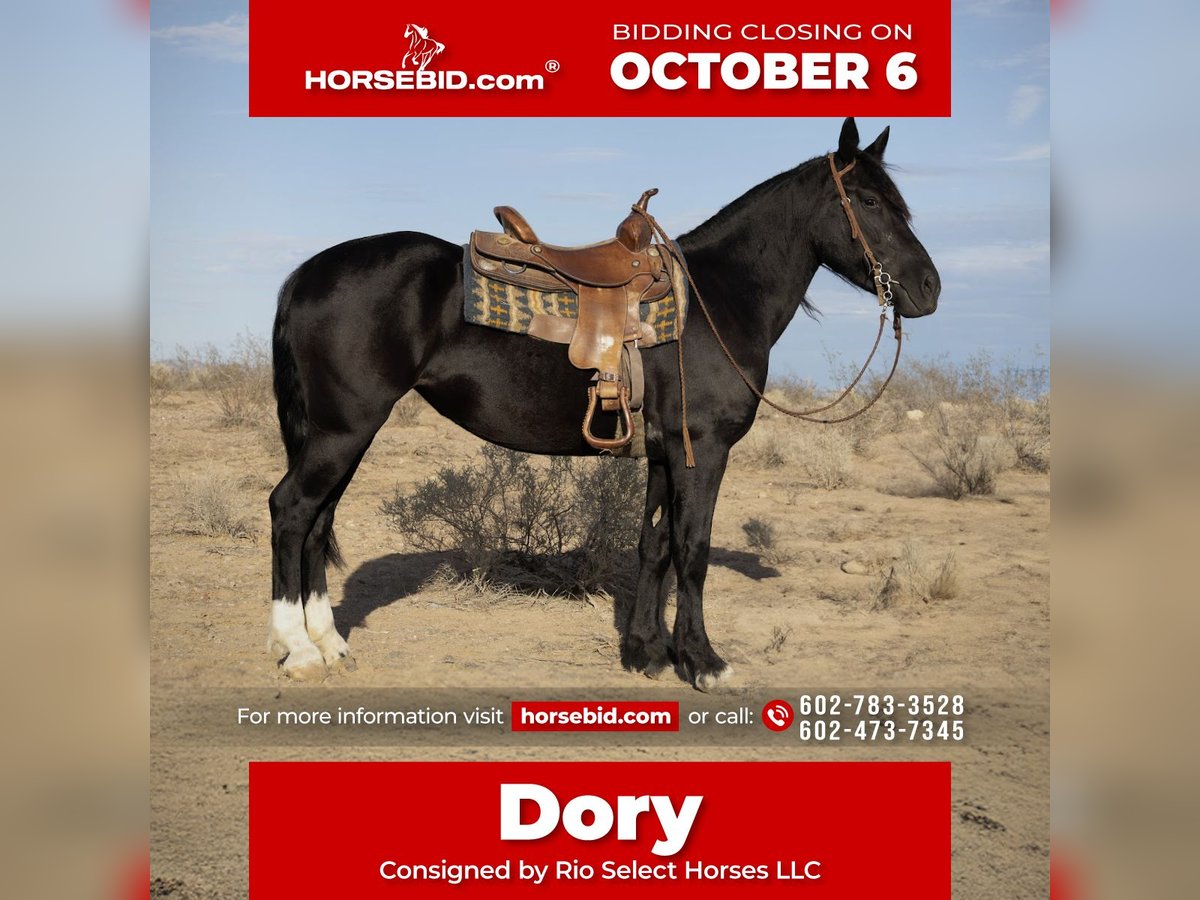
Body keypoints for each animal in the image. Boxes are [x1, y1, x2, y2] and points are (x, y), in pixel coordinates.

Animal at [267, 117, 940, 690]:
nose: (929, 288)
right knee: (292, 510)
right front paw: (703, 661)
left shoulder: (666, 453)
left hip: (343, 434)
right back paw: (298, 650)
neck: (719, 299)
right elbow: (693, 550)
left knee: (318, 520)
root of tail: (306, 273)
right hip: (343, 430)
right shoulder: (704, 452)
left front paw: (645, 651)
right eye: (870, 202)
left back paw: (330, 643)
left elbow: (655, 545)